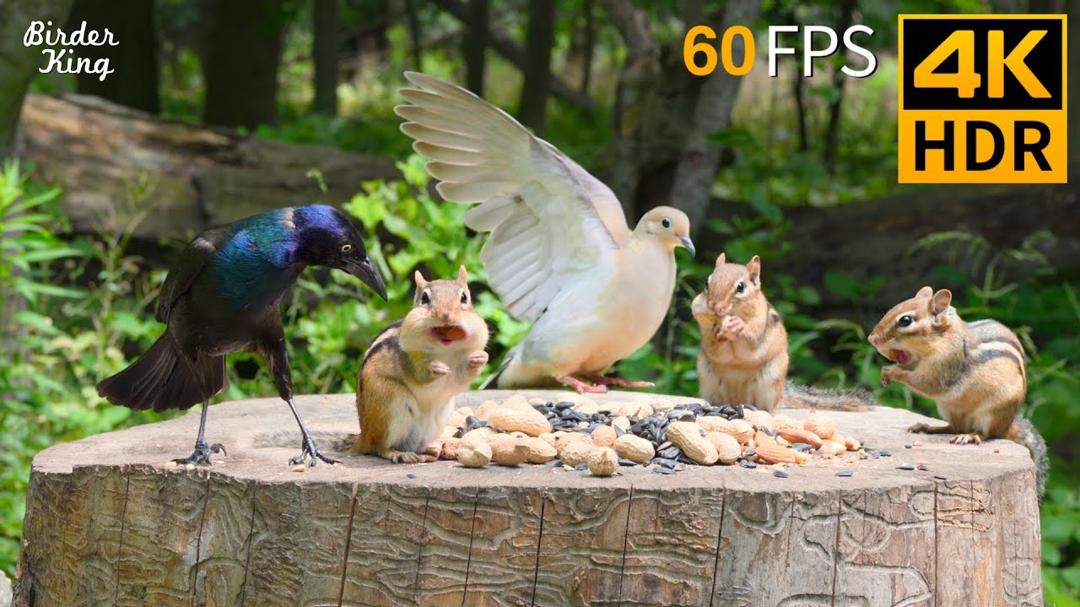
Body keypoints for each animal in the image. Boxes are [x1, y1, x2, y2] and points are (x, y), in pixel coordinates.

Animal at [352, 266, 489, 463]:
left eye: (464, 297)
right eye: (425, 298)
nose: (446, 315)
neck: (445, 350)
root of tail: (363, 435)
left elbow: (461, 377)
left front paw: (480, 358)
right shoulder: (408, 358)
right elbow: (419, 375)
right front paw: (435, 368)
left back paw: (438, 450)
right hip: (390, 400)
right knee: (378, 446)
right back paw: (398, 453)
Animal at [692, 253, 874, 412]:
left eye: (740, 287)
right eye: (707, 283)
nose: (714, 307)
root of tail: (737, 400)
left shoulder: (760, 324)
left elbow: (752, 341)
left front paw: (738, 325)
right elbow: (712, 345)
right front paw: (716, 332)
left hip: (770, 382)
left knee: (766, 408)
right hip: (707, 379)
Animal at [869, 286, 1048, 497]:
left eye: (905, 320)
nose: (872, 339)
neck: (942, 338)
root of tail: (1008, 425)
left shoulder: (945, 365)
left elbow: (927, 383)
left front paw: (892, 371)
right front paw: (886, 373)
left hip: (993, 411)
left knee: (987, 434)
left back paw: (971, 436)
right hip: (948, 409)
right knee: (953, 427)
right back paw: (928, 428)